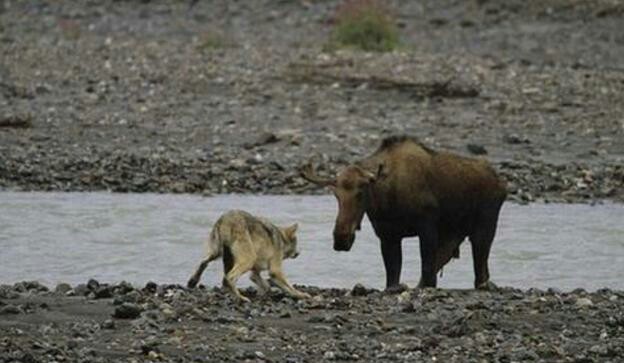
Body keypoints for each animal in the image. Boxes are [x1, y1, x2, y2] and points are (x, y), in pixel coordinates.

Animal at [300, 135, 510, 292]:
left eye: (361, 193)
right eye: (336, 195)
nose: (341, 238)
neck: (385, 201)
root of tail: (502, 184)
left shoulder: (427, 228)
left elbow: (428, 274)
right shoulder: (387, 235)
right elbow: (393, 277)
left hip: (484, 228)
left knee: (479, 274)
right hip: (455, 232)